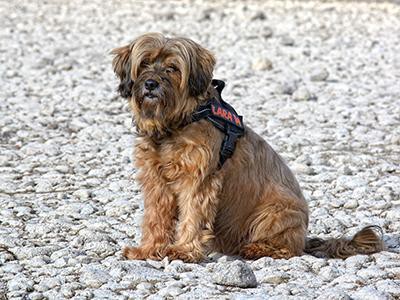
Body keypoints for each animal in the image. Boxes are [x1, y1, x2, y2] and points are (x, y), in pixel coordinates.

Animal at [110, 33, 384, 262]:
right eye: (144, 64)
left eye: (172, 68)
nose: (151, 84)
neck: (178, 123)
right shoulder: (156, 183)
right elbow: (155, 219)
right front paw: (148, 249)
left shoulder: (199, 181)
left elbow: (193, 217)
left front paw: (183, 251)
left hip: (274, 212)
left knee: (288, 249)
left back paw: (257, 248)